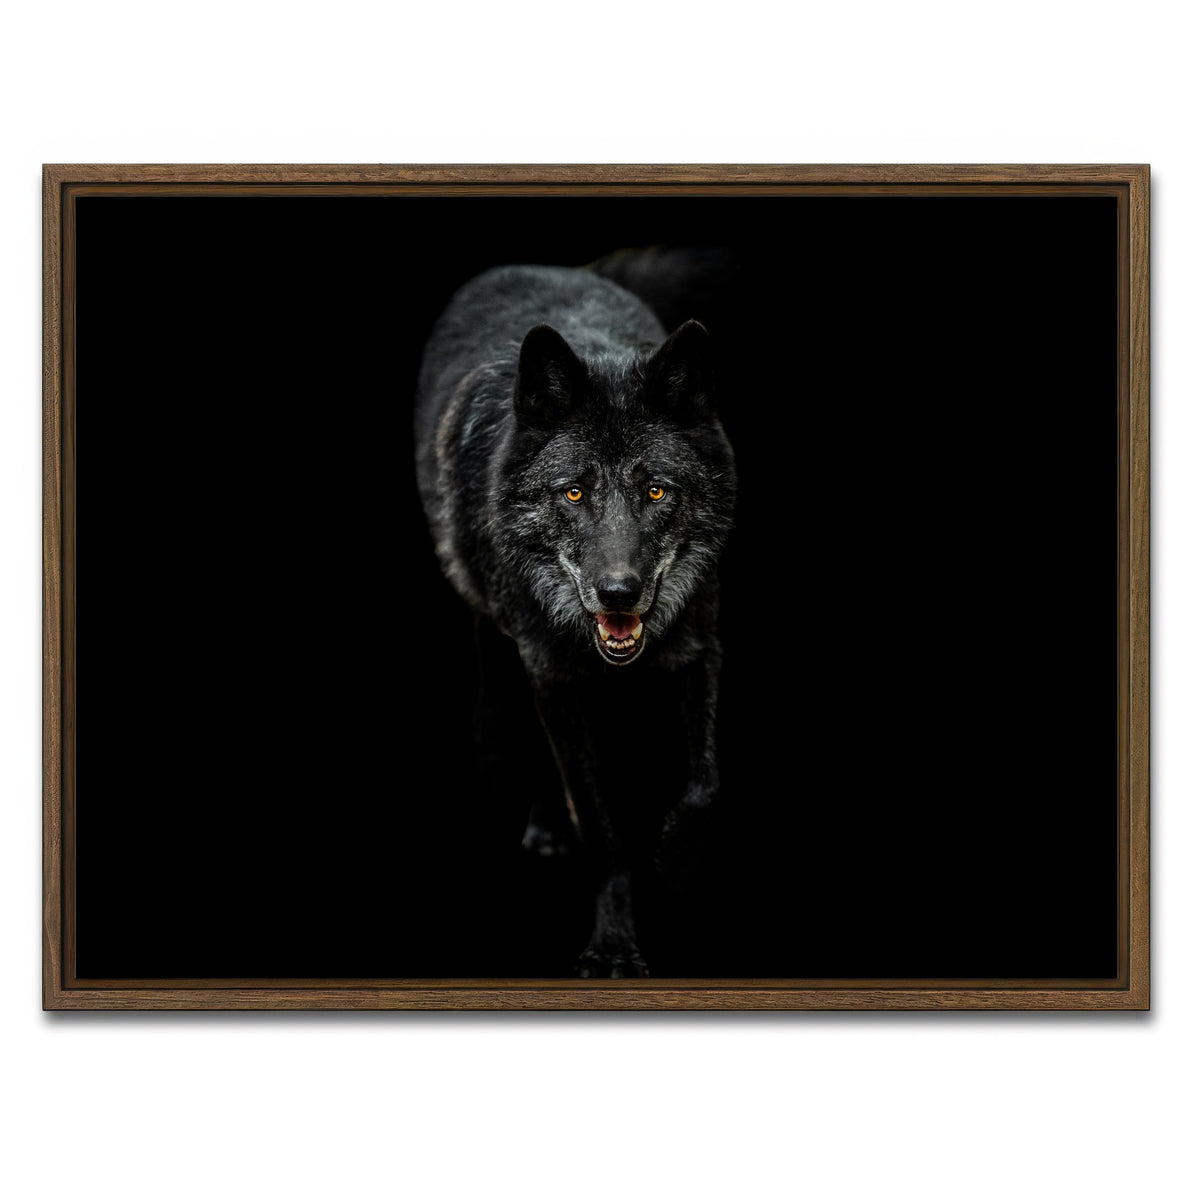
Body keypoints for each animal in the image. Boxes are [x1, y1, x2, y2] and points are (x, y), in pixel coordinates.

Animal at [414, 263, 736, 977]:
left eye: (656, 490)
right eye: (574, 492)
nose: (618, 593)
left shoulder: (701, 647)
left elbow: (706, 785)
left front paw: (676, 873)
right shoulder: (551, 676)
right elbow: (597, 821)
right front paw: (614, 941)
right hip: (499, 649)